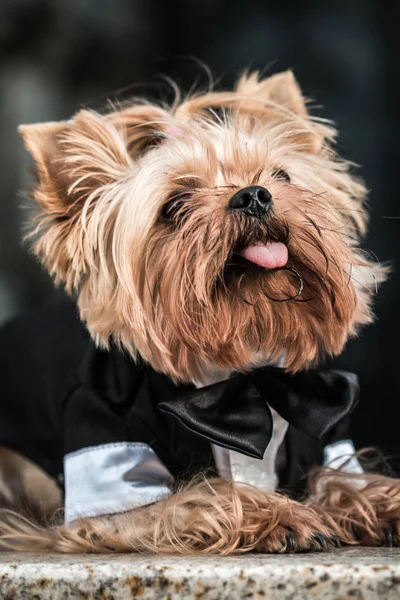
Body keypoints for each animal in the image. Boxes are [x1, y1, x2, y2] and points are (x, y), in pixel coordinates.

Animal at [0, 69, 400, 552]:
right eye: (174, 206)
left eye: (280, 174)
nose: (253, 195)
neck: (243, 373)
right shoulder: (105, 456)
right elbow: (201, 496)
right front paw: (283, 517)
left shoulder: (324, 430)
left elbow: (341, 479)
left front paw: (381, 503)